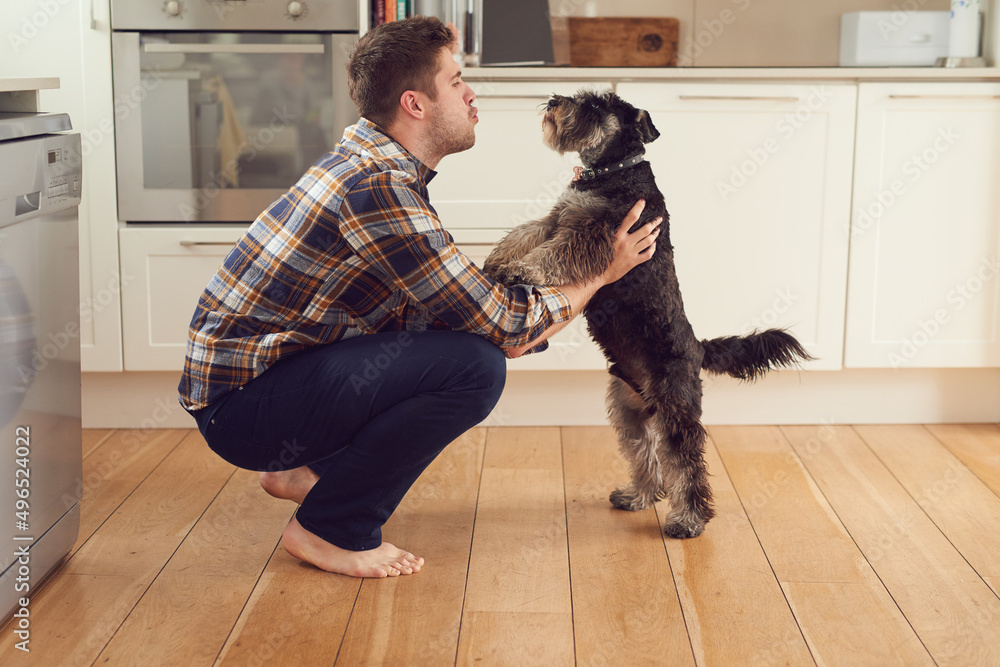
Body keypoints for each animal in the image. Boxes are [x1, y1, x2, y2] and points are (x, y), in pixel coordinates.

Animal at [484, 90, 812, 536]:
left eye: (594, 105)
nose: (552, 100)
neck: (612, 171)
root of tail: (697, 348)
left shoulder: (594, 234)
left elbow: (553, 254)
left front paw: (521, 269)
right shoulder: (560, 217)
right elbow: (526, 231)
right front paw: (498, 260)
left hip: (675, 409)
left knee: (687, 463)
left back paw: (688, 519)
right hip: (629, 412)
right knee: (648, 456)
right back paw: (637, 496)